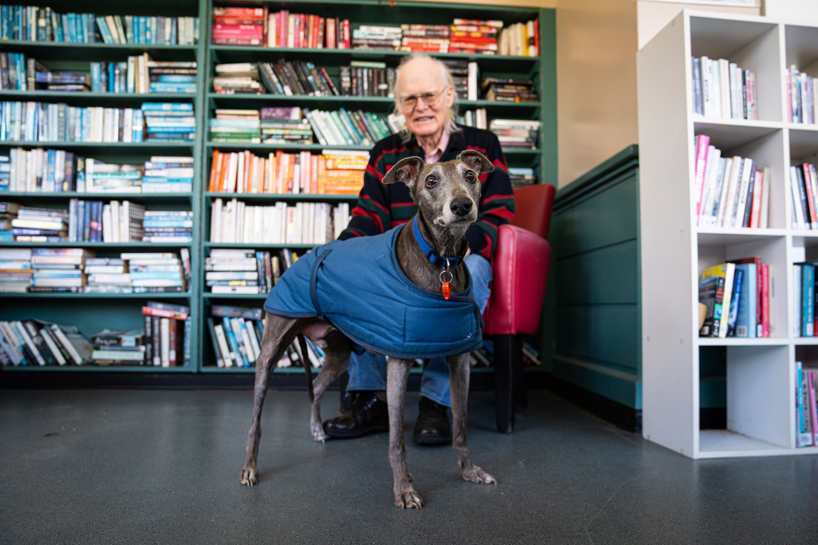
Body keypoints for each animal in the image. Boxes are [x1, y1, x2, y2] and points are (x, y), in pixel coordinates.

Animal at [241, 148, 498, 506]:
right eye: (431, 181)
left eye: (471, 176)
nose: (461, 205)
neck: (441, 260)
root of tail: (304, 258)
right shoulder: (399, 362)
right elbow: (396, 440)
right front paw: (404, 489)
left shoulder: (460, 359)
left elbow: (460, 426)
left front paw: (470, 472)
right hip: (271, 348)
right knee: (255, 419)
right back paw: (250, 467)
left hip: (338, 354)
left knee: (317, 385)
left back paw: (317, 428)